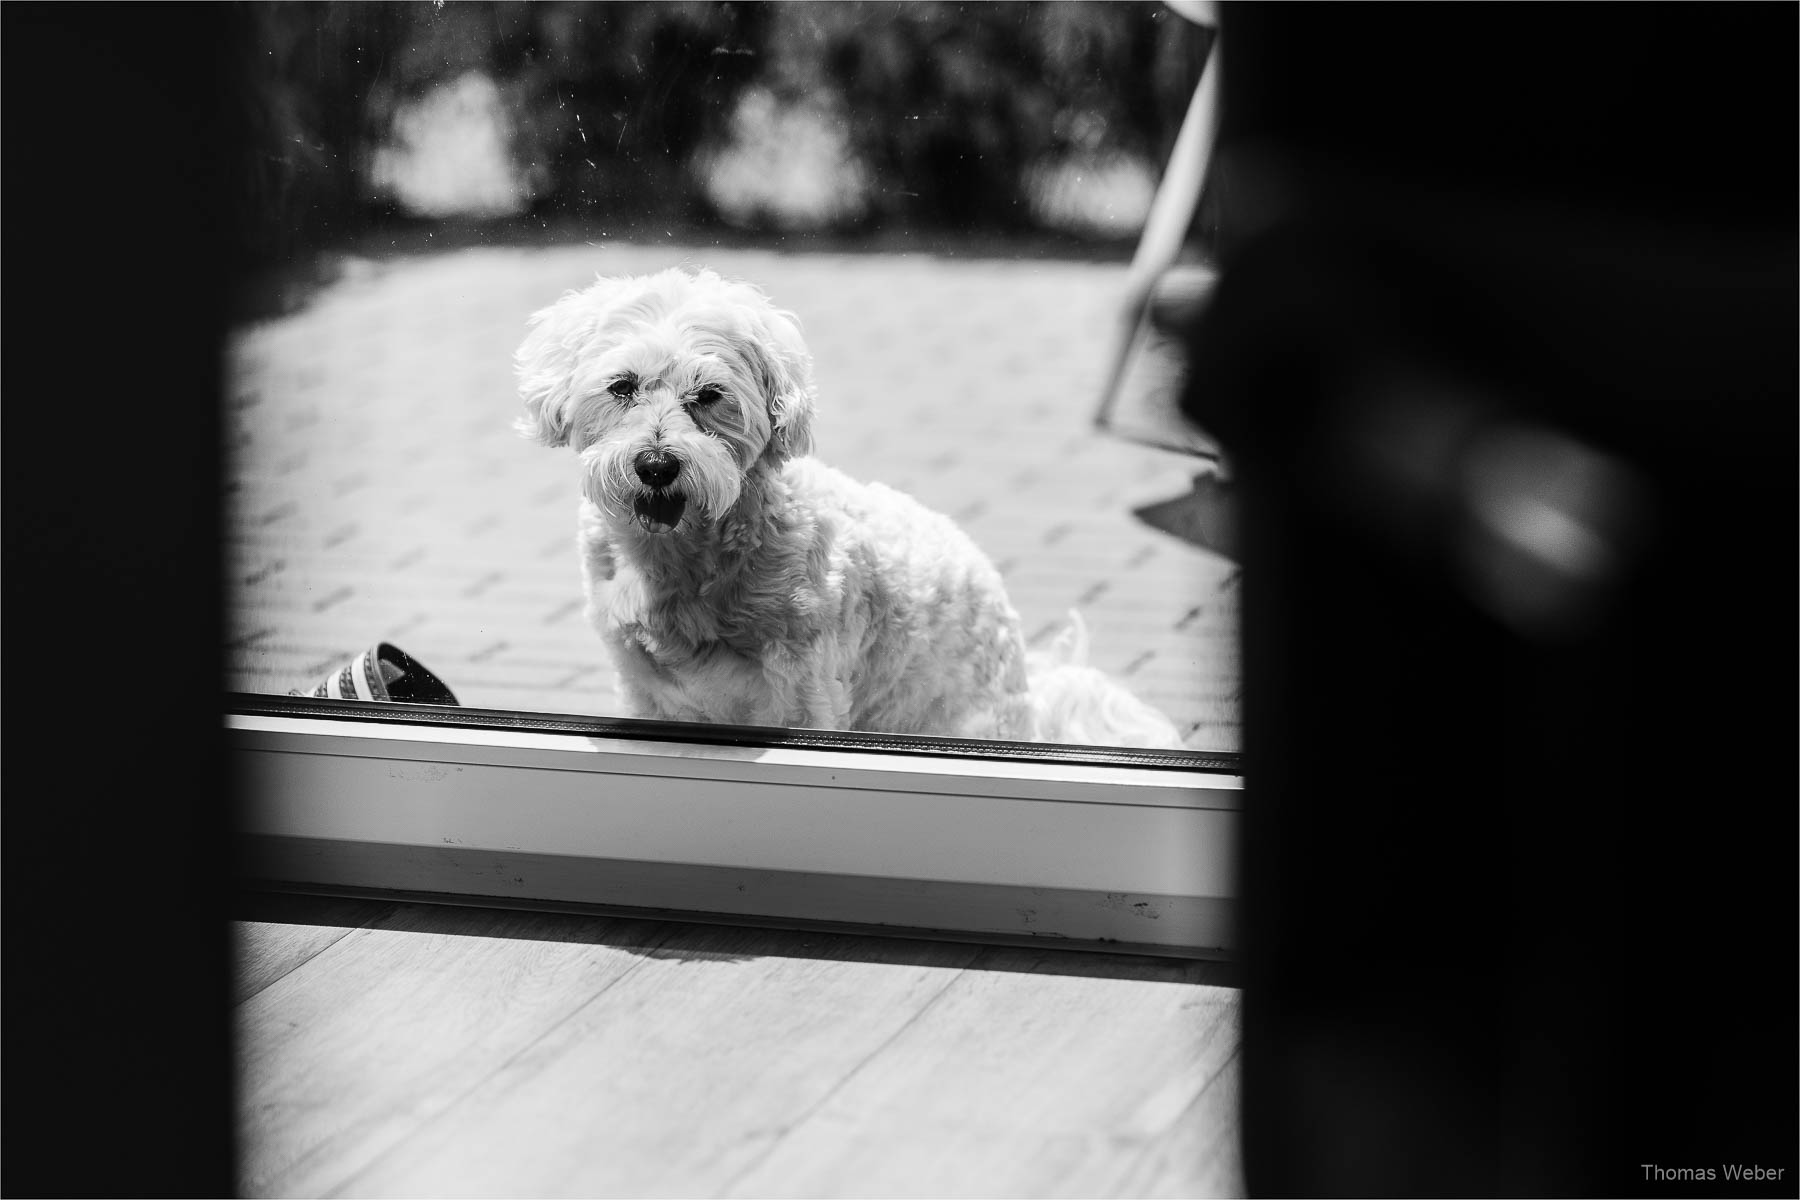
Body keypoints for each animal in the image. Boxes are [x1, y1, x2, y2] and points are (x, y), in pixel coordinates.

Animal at [514, 268, 1188, 744]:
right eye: (621, 386)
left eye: (709, 396)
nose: (656, 466)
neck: (682, 562)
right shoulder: (645, 691)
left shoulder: (804, 693)